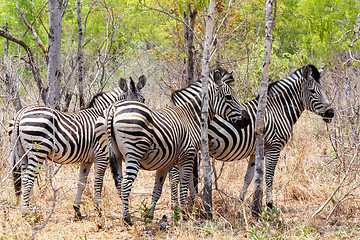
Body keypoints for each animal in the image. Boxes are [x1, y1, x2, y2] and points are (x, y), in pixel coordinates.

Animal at [9, 75, 148, 219]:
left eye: (142, 100)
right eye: (126, 101)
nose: (135, 123)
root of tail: (20, 113)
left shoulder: (87, 159)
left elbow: (81, 183)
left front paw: (77, 211)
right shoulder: (101, 156)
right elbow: (98, 183)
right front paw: (99, 210)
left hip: (23, 154)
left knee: (26, 178)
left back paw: (33, 211)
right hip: (38, 151)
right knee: (27, 180)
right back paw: (26, 213)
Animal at [96, 69, 250, 225]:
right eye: (229, 97)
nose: (247, 120)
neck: (192, 117)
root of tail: (114, 108)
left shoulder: (166, 162)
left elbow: (158, 189)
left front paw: (151, 215)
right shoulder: (187, 155)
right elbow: (184, 184)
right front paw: (183, 213)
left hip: (114, 153)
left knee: (119, 183)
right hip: (133, 152)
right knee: (125, 184)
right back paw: (127, 218)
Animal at [169, 64, 334, 209]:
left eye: (324, 90)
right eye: (312, 91)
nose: (331, 113)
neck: (278, 110)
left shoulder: (255, 151)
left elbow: (249, 177)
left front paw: (240, 201)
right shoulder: (274, 147)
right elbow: (269, 176)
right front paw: (269, 204)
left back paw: (193, 201)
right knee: (175, 175)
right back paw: (176, 205)